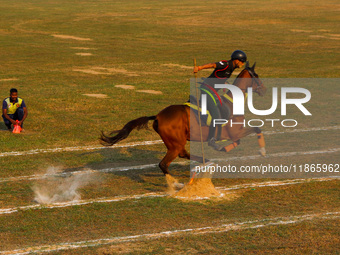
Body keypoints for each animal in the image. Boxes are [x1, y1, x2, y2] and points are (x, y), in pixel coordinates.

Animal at [99, 62, 266, 176]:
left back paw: (205, 162)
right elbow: (256, 129)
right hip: (176, 143)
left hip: (177, 142)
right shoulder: (235, 132)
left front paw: (223, 148)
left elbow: (238, 141)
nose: (264, 90)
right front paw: (262, 151)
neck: (231, 102)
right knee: (164, 164)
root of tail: (158, 116)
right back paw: (175, 184)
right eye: (257, 76)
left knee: (182, 154)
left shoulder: (233, 134)